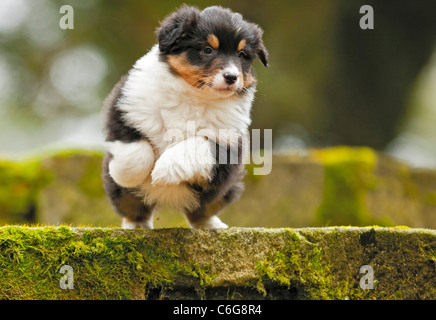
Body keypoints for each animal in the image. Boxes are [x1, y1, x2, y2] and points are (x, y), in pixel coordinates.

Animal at [102, 5, 270, 230]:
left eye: (242, 55)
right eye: (207, 50)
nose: (232, 77)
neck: (195, 95)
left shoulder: (227, 142)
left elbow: (195, 145)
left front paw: (162, 171)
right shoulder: (126, 110)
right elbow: (137, 152)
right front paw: (124, 174)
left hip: (223, 190)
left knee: (200, 211)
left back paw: (213, 225)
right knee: (134, 208)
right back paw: (136, 226)